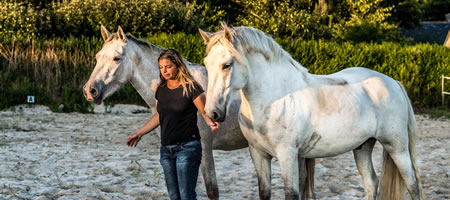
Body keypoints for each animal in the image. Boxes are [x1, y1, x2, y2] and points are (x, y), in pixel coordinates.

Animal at [200, 23, 426, 200]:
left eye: (226, 65)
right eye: (206, 64)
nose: (212, 113)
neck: (275, 98)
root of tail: (393, 82)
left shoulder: (287, 155)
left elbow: (291, 194)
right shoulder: (258, 154)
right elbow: (264, 193)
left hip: (396, 147)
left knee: (412, 185)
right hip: (362, 147)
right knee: (371, 183)